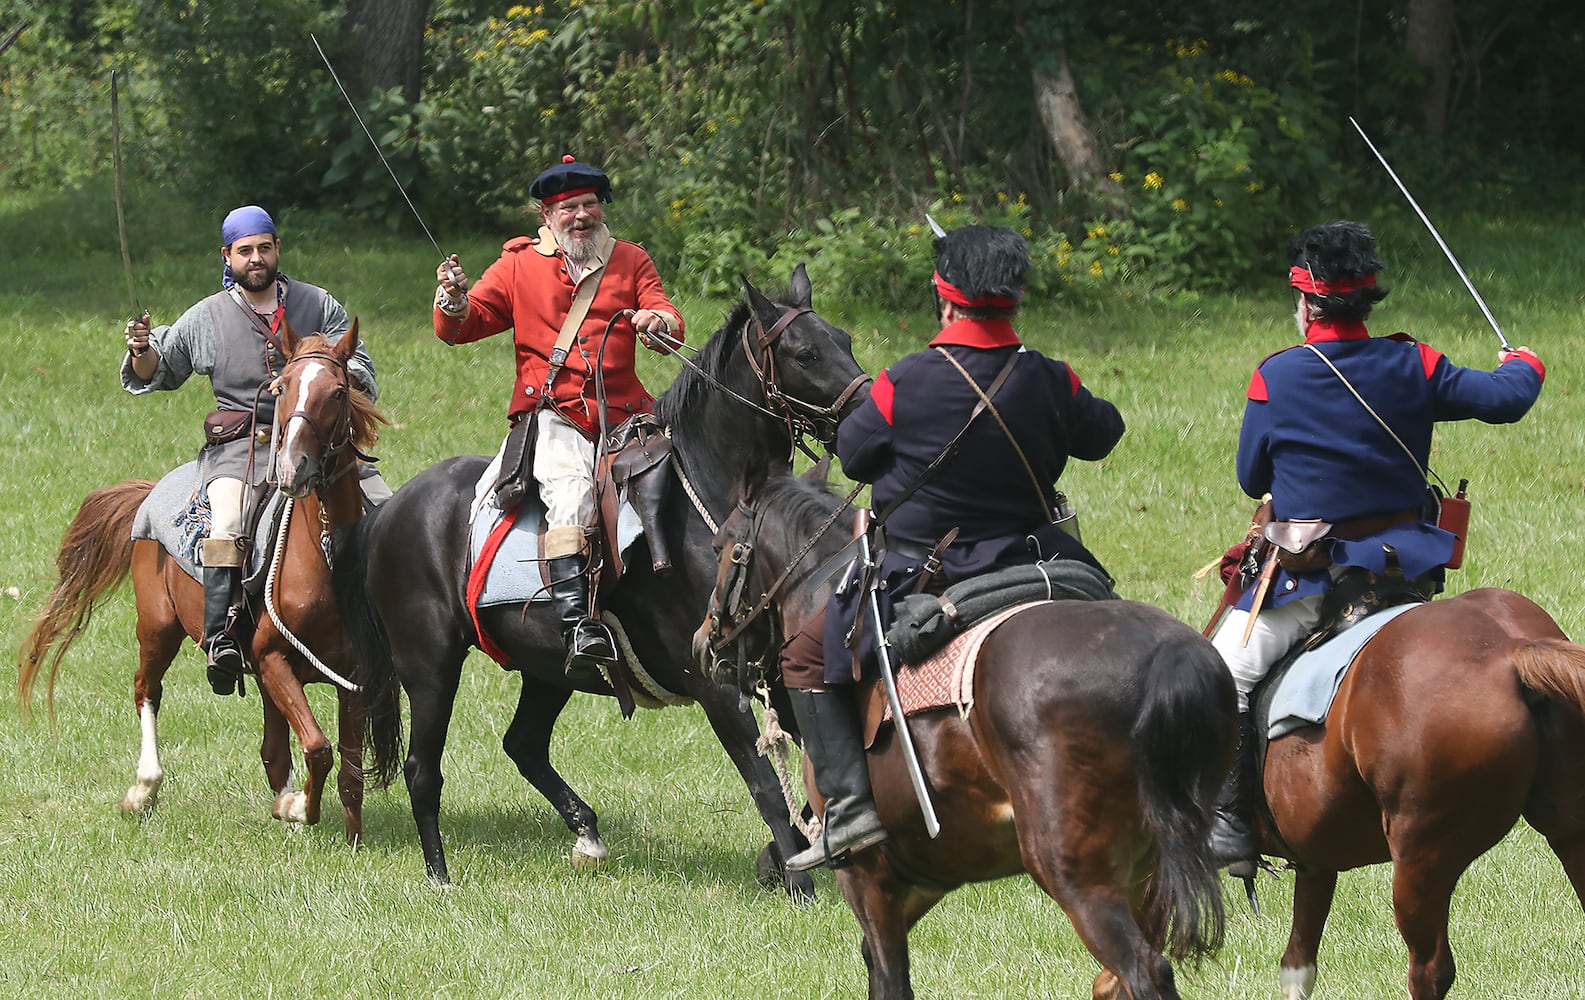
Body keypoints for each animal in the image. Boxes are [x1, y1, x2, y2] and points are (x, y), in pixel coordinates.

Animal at [19, 323, 383, 843]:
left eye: (337, 391)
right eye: (282, 388)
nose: (292, 469)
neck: (324, 558)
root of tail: (148, 493)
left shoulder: (349, 676)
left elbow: (348, 770)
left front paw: (348, 838)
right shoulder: (272, 659)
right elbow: (318, 748)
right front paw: (298, 807)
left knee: (274, 750)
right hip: (157, 630)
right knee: (145, 690)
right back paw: (143, 790)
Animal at [336, 266, 874, 893]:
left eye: (845, 340)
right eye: (805, 352)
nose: (868, 414)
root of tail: (390, 510)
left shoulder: (781, 671)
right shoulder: (715, 683)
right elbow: (765, 783)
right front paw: (796, 880)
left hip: (549, 668)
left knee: (523, 745)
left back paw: (586, 833)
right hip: (430, 669)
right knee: (424, 769)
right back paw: (439, 875)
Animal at [694, 472, 1236, 1000]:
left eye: (722, 545)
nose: (704, 641)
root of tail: (1168, 661)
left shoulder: (865, 877)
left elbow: (889, 977)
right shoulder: (925, 875)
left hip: (1077, 876)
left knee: (1142, 971)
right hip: (1148, 872)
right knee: (1121, 977)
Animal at [1248, 589, 1585, 995]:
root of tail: (1511, 650)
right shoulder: (1316, 862)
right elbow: (1298, 965)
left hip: (1420, 859)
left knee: (1430, 969)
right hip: (1569, 834)